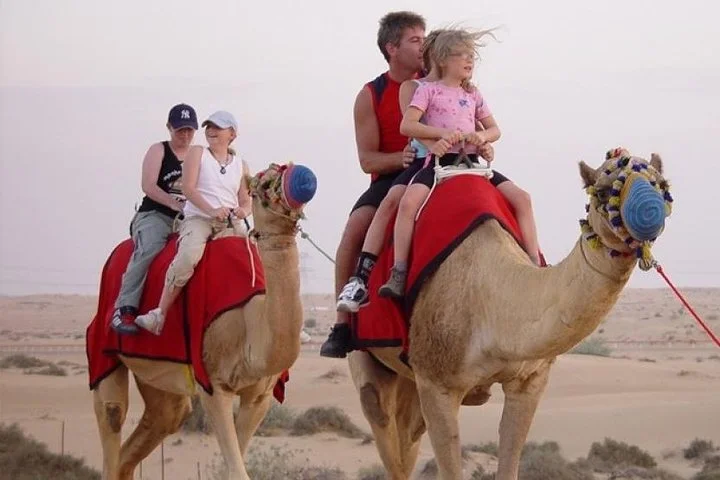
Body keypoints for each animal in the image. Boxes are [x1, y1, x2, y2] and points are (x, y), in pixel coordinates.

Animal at [91, 162, 317, 480]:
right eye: (262, 183)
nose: (303, 179)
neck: (251, 321)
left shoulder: (260, 395)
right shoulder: (213, 382)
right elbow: (237, 470)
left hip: (159, 376)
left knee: (164, 417)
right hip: (104, 347)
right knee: (112, 415)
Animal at [347, 148, 673, 479]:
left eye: (661, 184)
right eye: (604, 191)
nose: (649, 212)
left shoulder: (529, 380)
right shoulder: (437, 384)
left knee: (408, 436)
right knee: (378, 412)